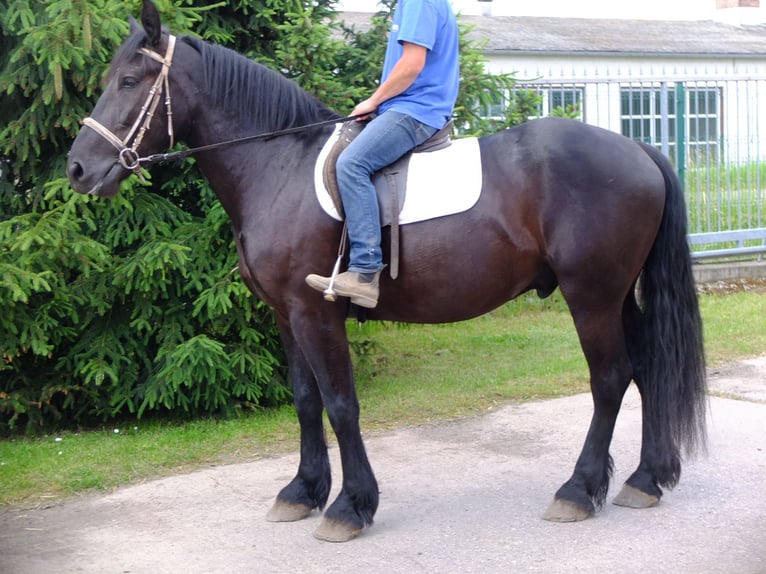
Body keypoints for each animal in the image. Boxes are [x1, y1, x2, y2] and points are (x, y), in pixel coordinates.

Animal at [66, 0, 708, 544]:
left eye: (130, 82)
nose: (77, 169)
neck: (278, 164)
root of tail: (640, 150)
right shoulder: (284, 315)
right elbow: (306, 400)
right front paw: (302, 492)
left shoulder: (316, 312)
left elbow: (341, 403)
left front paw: (350, 506)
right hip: (618, 294)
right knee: (648, 368)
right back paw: (645, 480)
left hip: (590, 295)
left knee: (610, 378)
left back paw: (578, 489)